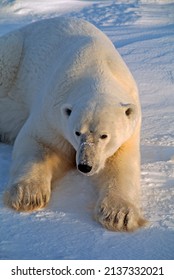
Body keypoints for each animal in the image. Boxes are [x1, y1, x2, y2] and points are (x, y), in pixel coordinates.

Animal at [0, 17, 145, 232]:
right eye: (77, 132)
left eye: (104, 135)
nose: (84, 165)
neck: (97, 66)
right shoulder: (53, 111)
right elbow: (40, 142)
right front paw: (29, 196)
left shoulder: (129, 131)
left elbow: (120, 163)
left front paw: (118, 215)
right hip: (11, 56)